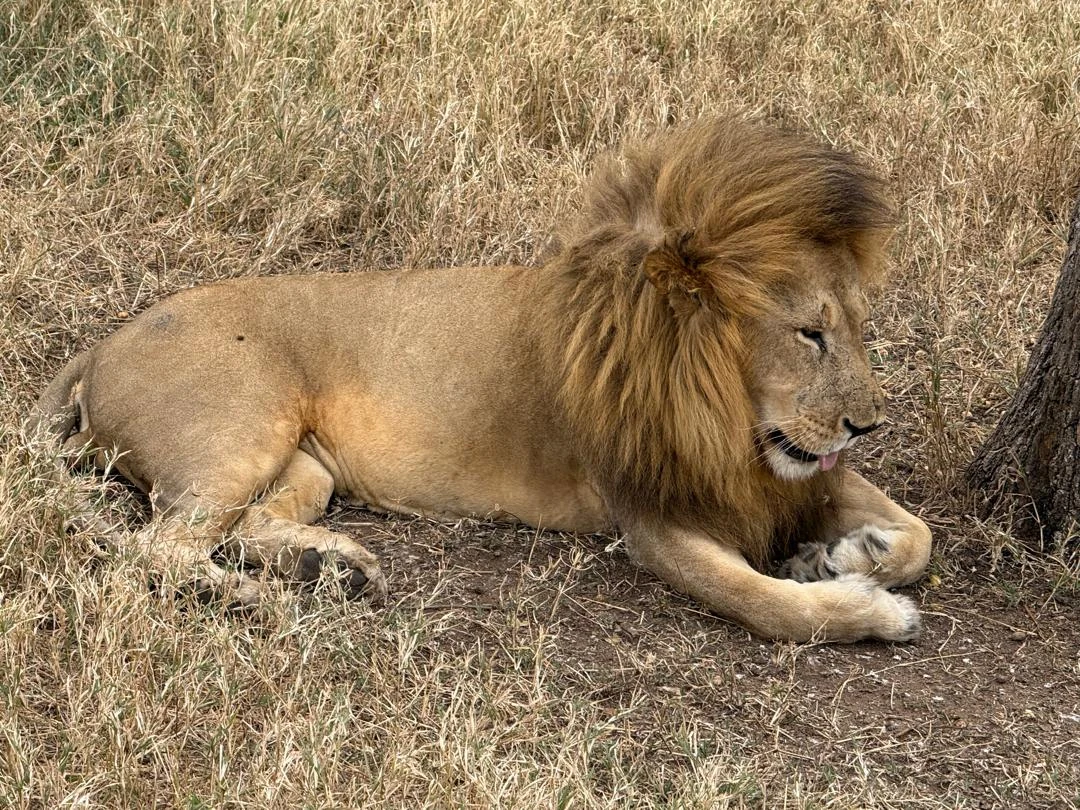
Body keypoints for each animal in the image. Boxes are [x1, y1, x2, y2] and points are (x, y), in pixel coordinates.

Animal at [28, 116, 931, 642]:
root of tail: (105, 342)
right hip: (237, 430)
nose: (868, 425)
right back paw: (269, 603)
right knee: (157, 549)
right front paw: (869, 607)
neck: (727, 415)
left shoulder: (785, 476)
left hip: (304, 467)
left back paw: (331, 569)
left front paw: (852, 552)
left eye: (858, 326)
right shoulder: (651, 516)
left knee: (239, 528)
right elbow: (767, 606)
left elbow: (918, 534)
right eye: (809, 333)